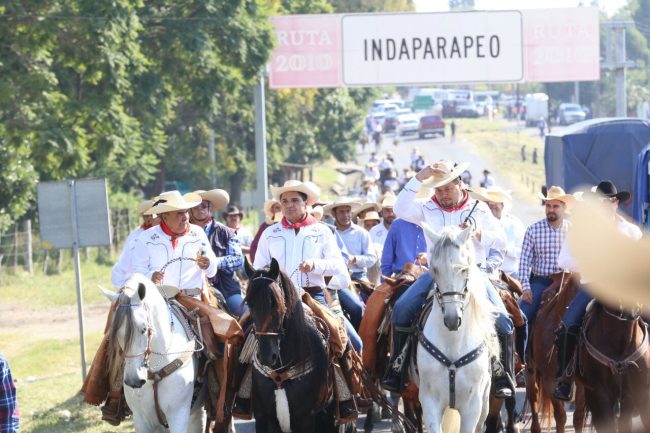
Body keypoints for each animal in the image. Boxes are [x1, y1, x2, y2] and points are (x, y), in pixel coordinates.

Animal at [412, 224, 498, 432]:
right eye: (435, 270)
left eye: (464, 270)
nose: (452, 319)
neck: (453, 342)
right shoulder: (429, 401)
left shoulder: (473, 406)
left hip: (485, 402)